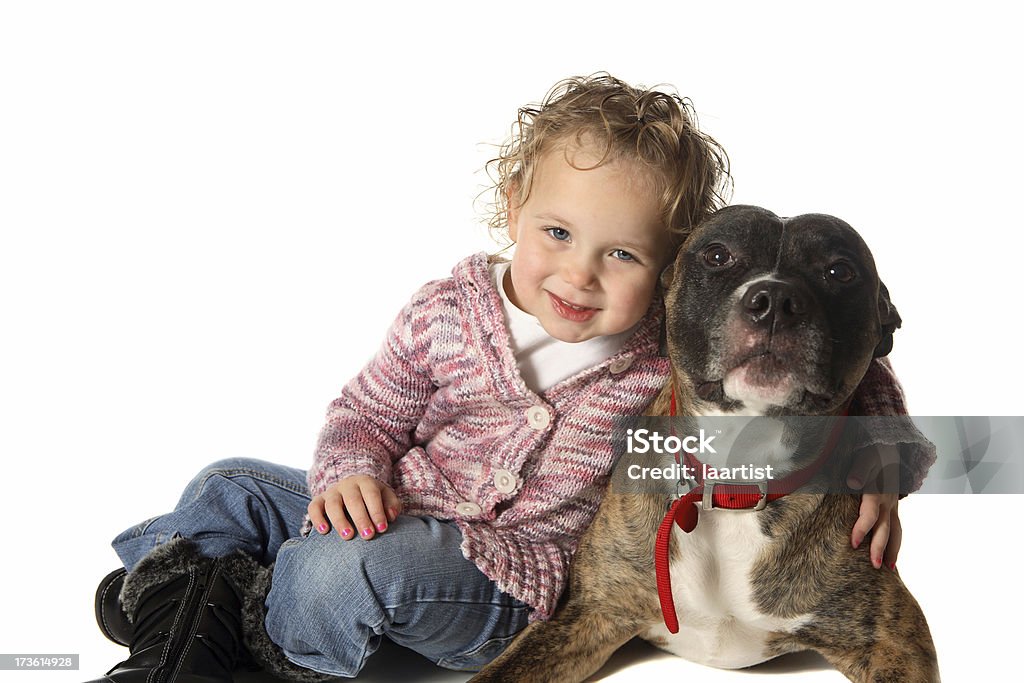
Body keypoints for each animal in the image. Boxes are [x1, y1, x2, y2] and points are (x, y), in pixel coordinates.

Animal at [468, 206, 937, 683]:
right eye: (717, 255)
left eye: (840, 271)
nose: (775, 300)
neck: (737, 477)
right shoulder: (586, 610)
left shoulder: (896, 643)